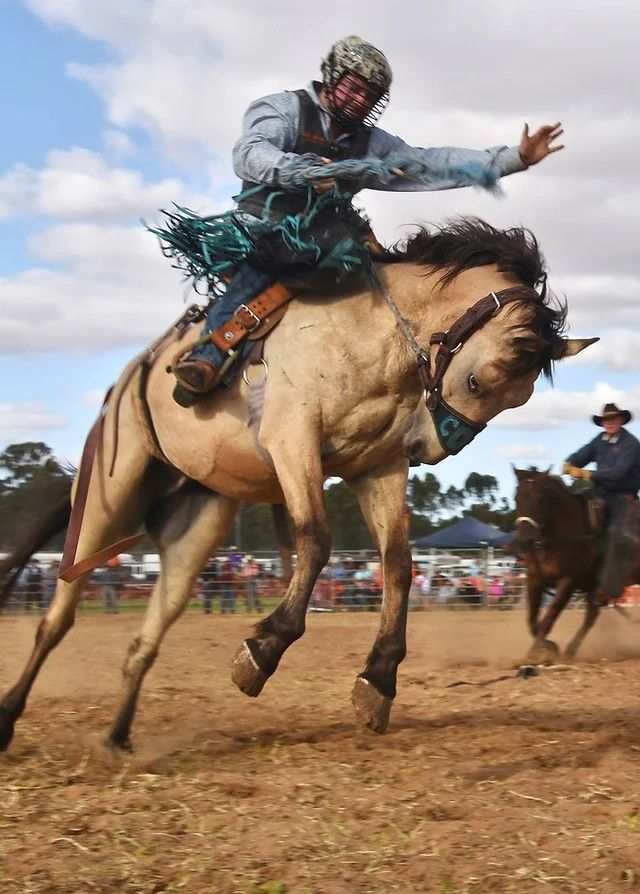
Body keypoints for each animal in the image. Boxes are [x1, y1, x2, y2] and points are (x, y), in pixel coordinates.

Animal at [0, 220, 596, 752]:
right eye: (478, 380)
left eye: (517, 400)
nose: (426, 449)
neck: (372, 335)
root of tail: (127, 380)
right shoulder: (293, 439)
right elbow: (315, 538)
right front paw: (263, 650)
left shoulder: (377, 467)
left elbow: (398, 563)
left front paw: (378, 680)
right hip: (109, 496)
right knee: (57, 618)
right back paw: (10, 719)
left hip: (197, 526)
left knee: (146, 636)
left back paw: (117, 738)